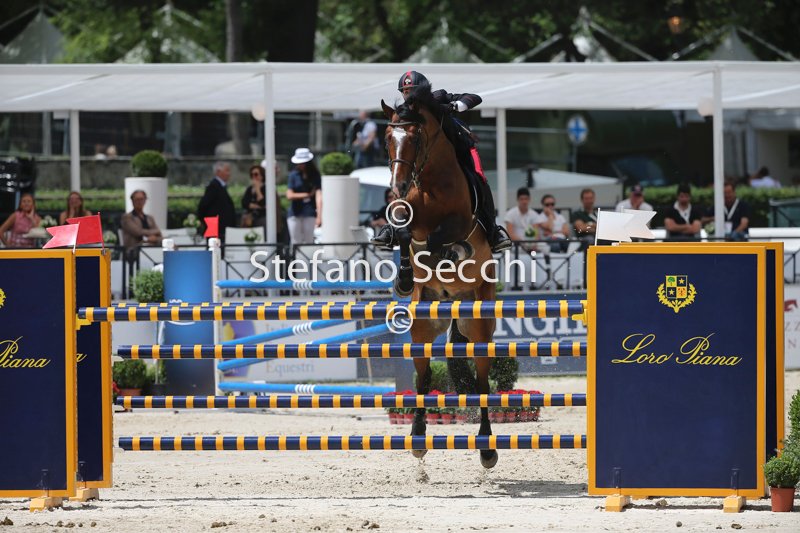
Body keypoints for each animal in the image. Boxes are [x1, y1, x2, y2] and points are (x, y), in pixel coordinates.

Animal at [380, 97, 499, 469]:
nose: (397, 186)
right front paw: (405, 277)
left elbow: (439, 238)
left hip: (479, 325)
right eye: (388, 137)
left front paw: (452, 250)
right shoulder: (407, 212)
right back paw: (418, 435)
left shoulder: (459, 221)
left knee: (482, 380)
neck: (430, 180)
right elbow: (404, 230)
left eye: (415, 137)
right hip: (423, 325)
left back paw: (487, 448)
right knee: (423, 378)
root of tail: (452, 303)